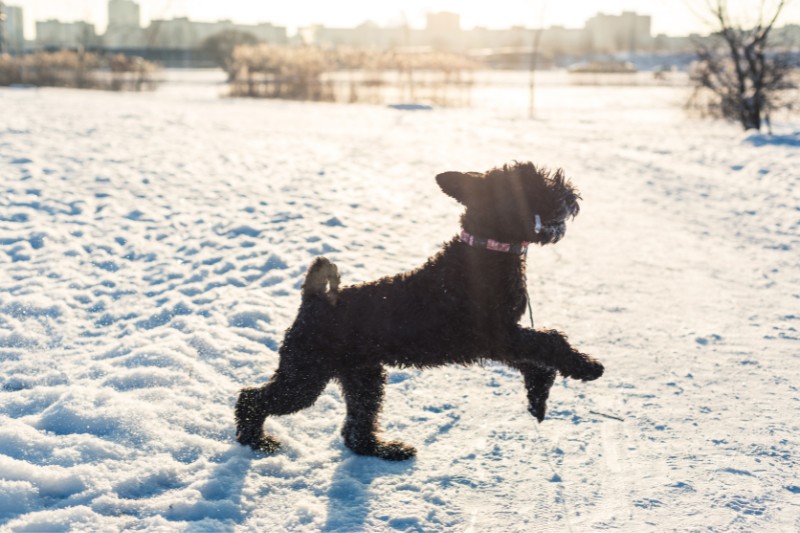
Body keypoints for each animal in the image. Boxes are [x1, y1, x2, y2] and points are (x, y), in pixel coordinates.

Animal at [234, 160, 604, 460]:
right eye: (534, 181)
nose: (569, 192)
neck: (486, 251)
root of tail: (314, 299)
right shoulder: (498, 335)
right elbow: (551, 341)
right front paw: (587, 366)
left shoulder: (504, 340)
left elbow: (538, 357)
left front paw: (538, 397)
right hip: (305, 376)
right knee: (251, 399)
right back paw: (257, 441)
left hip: (363, 377)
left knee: (356, 429)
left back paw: (387, 450)